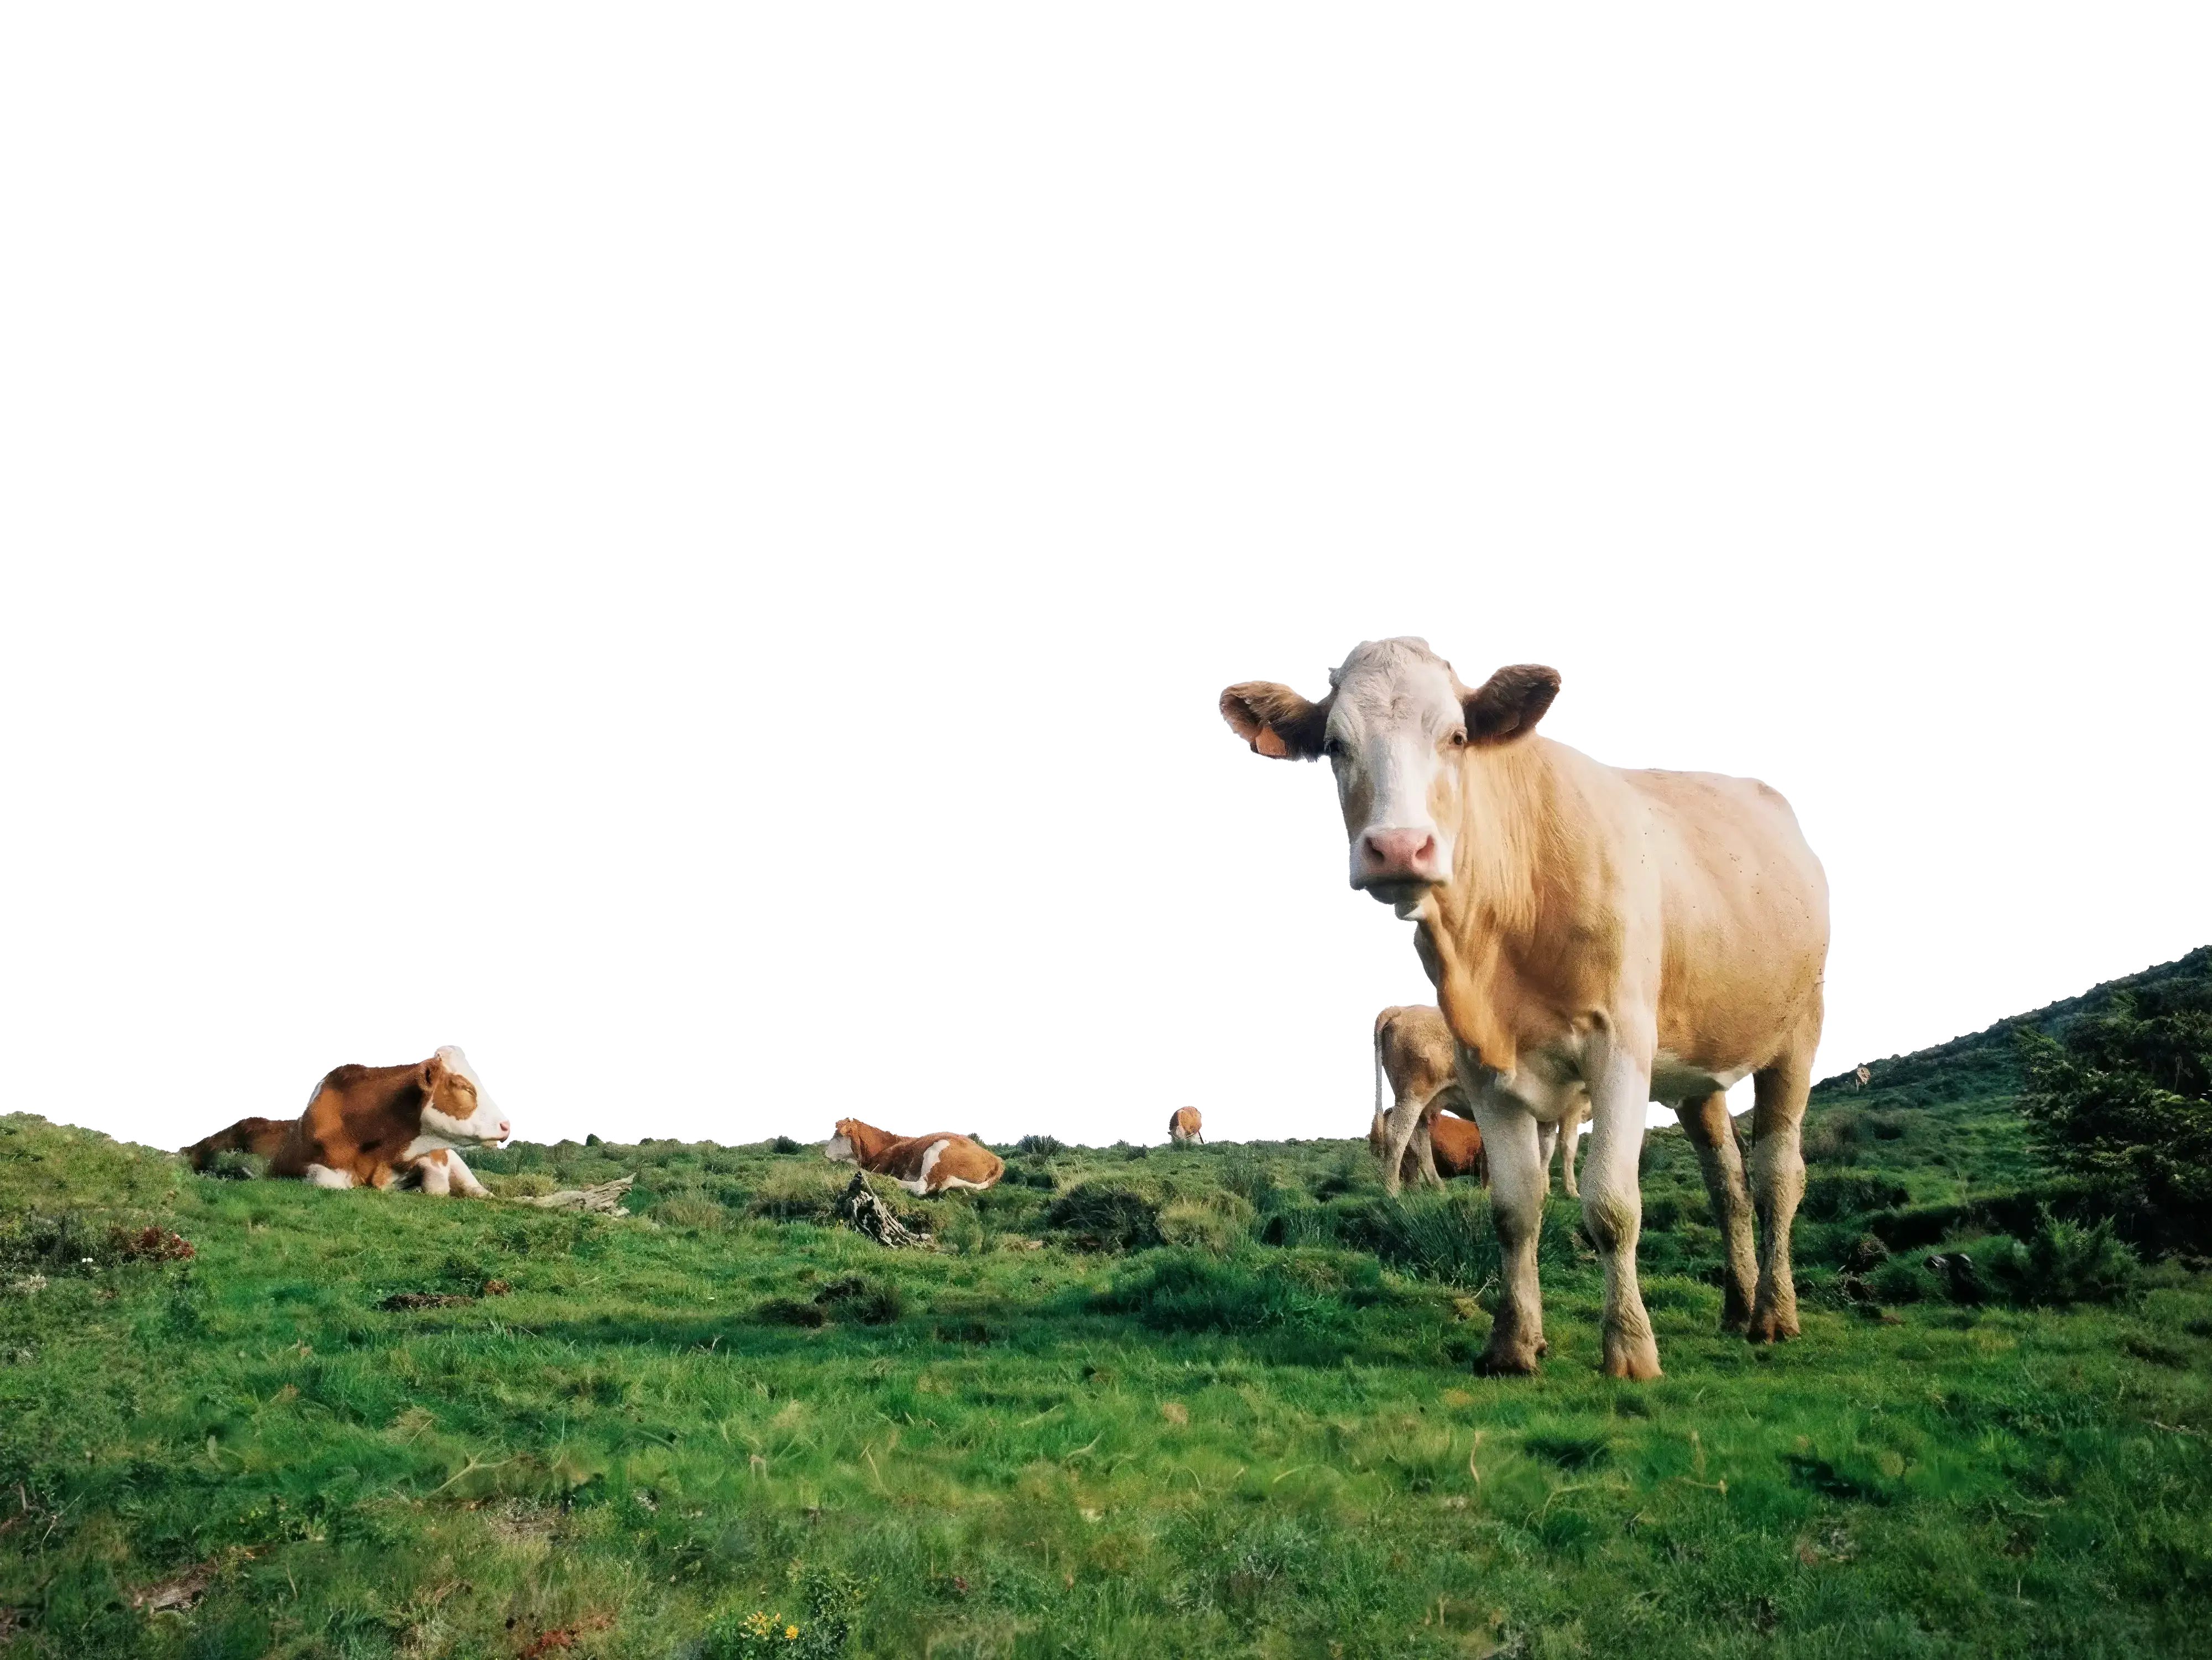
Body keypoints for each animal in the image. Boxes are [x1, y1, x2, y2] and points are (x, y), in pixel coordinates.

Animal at [183, 1045, 513, 1197]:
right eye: (464, 1087)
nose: (507, 1125)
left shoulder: (433, 1156)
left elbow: (437, 1184)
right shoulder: (293, 1164)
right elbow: (328, 1181)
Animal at [826, 1117, 1005, 1195]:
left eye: (838, 1136)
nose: (826, 1155)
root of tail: (996, 1160)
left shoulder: (881, 1165)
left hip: (937, 1151)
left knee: (920, 1187)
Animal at [1373, 1003, 1580, 1197]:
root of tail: (1402, 1010)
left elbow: (1544, 1151)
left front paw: (1543, 1190)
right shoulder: (1572, 1108)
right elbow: (1567, 1148)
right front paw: (1572, 1192)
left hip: (1425, 1103)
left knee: (1419, 1140)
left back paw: (1437, 1189)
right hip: (1412, 1095)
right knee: (1397, 1135)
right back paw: (1392, 1191)